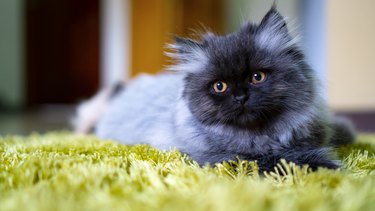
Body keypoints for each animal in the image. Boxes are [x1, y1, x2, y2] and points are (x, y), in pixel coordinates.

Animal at [75, 7, 356, 171]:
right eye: (219, 86)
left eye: (257, 77)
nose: (241, 97)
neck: (263, 136)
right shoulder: (222, 155)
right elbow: (282, 159)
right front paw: (329, 166)